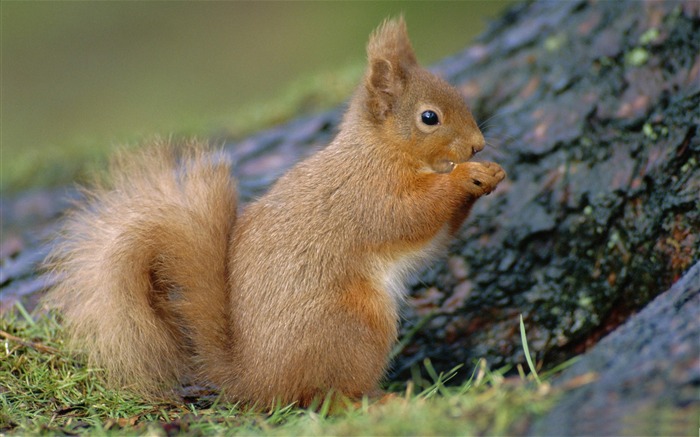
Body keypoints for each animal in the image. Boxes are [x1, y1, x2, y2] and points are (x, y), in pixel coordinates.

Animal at [42, 17, 504, 406]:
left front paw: (491, 174)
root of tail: (256, 380)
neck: (381, 150)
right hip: (354, 324)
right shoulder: (370, 196)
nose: (477, 145)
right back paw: (383, 400)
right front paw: (467, 177)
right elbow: (413, 215)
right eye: (429, 117)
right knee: (325, 398)